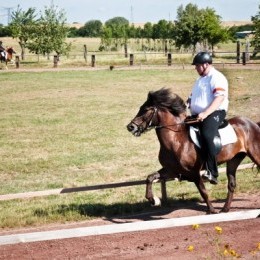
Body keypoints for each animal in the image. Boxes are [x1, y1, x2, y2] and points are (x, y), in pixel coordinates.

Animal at [126, 87, 260, 213]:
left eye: (146, 110)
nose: (130, 127)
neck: (176, 140)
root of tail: (253, 124)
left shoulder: (194, 173)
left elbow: (203, 192)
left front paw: (211, 211)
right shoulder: (171, 170)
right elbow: (150, 178)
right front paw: (154, 200)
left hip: (255, 154)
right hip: (234, 159)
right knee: (231, 184)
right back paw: (225, 209)